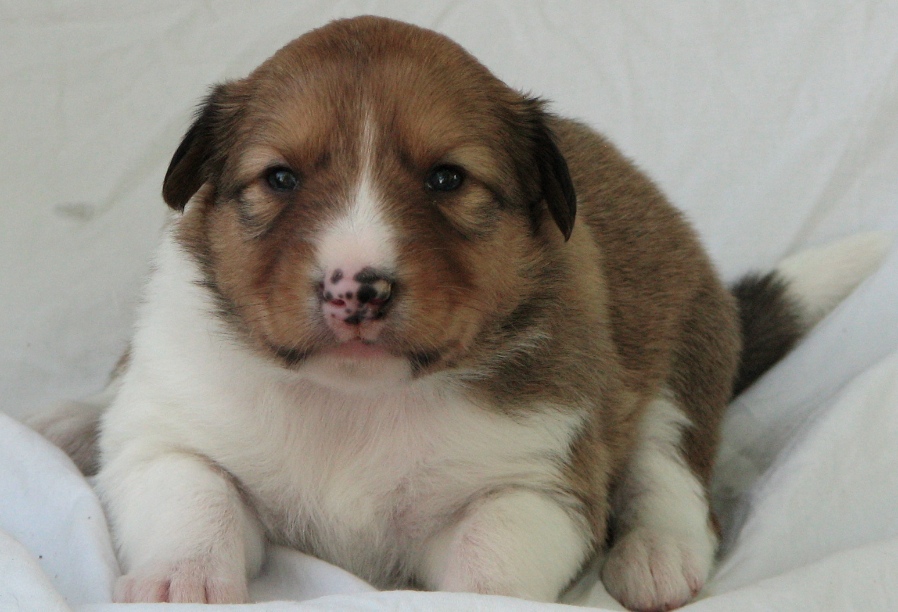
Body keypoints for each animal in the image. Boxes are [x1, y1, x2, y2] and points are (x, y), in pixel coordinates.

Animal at [31, 15, 884, 612]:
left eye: (447, 179)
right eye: (279, 178)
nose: (356, 289)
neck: (353, 401)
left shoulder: (533, 485)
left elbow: (489, 565)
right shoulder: (169, 437)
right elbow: (193, 497)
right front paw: (183, 583)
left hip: (679, 351)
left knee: (670, 470)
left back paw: (655, 556)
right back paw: (66, 423)